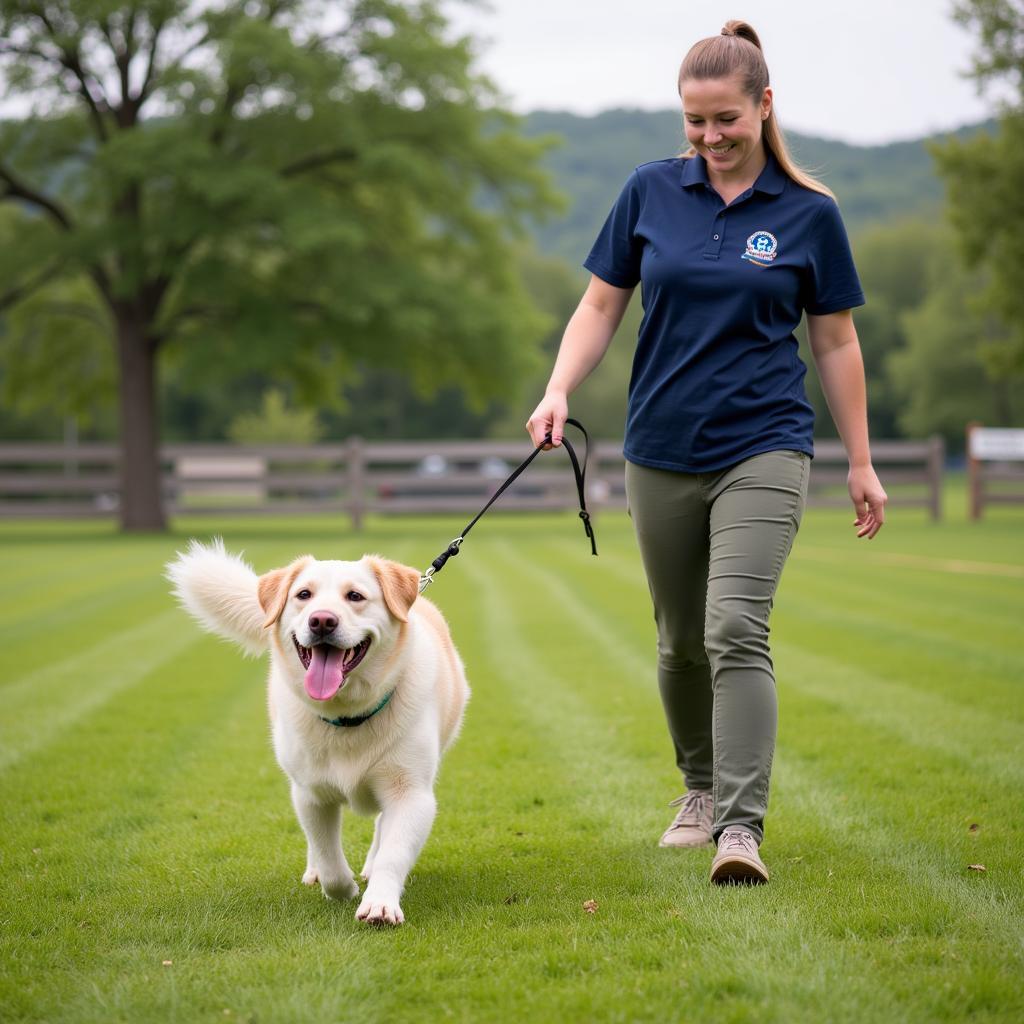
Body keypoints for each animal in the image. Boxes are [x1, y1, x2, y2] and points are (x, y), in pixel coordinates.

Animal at [165, 544, 468, 929]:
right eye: (303, 595)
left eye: (355, 596)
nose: (321, 621)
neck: (347, 717)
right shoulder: (311, 794)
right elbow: (327, 855)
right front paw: (340, 886)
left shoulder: (412, 793)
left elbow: (393, 852)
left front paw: (379, 903)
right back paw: (316, 873)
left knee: (381, 827)